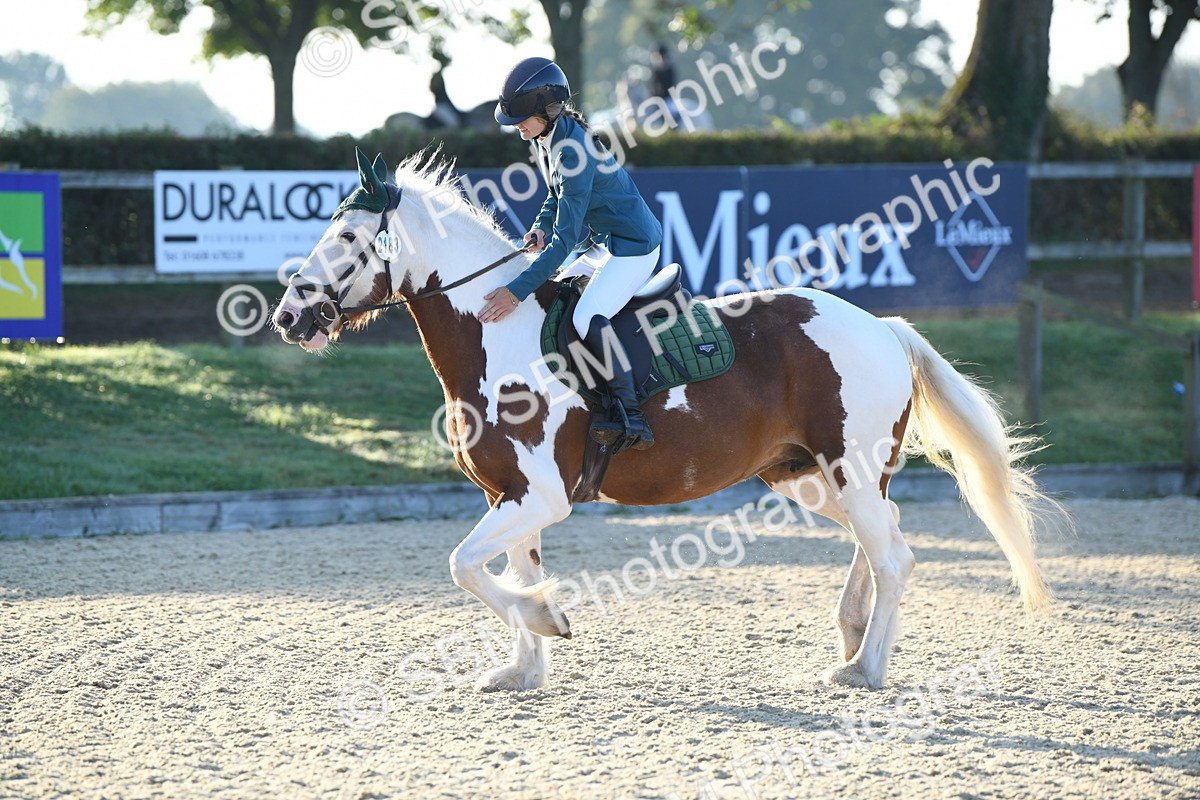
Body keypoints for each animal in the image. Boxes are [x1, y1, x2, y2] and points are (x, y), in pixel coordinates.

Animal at [272, 149, 1059, 692]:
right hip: (811, 479)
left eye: (347, 238)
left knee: (895, 555)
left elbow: (465, 566)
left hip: (849, 472)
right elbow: (508, 570)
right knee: (885, 539)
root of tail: (884, 327)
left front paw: (546, 619)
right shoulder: (508, 496)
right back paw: (853, 636)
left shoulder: (539, 497)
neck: (495, 332)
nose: (287, 316)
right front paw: (524, 667)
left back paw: (863, 669)